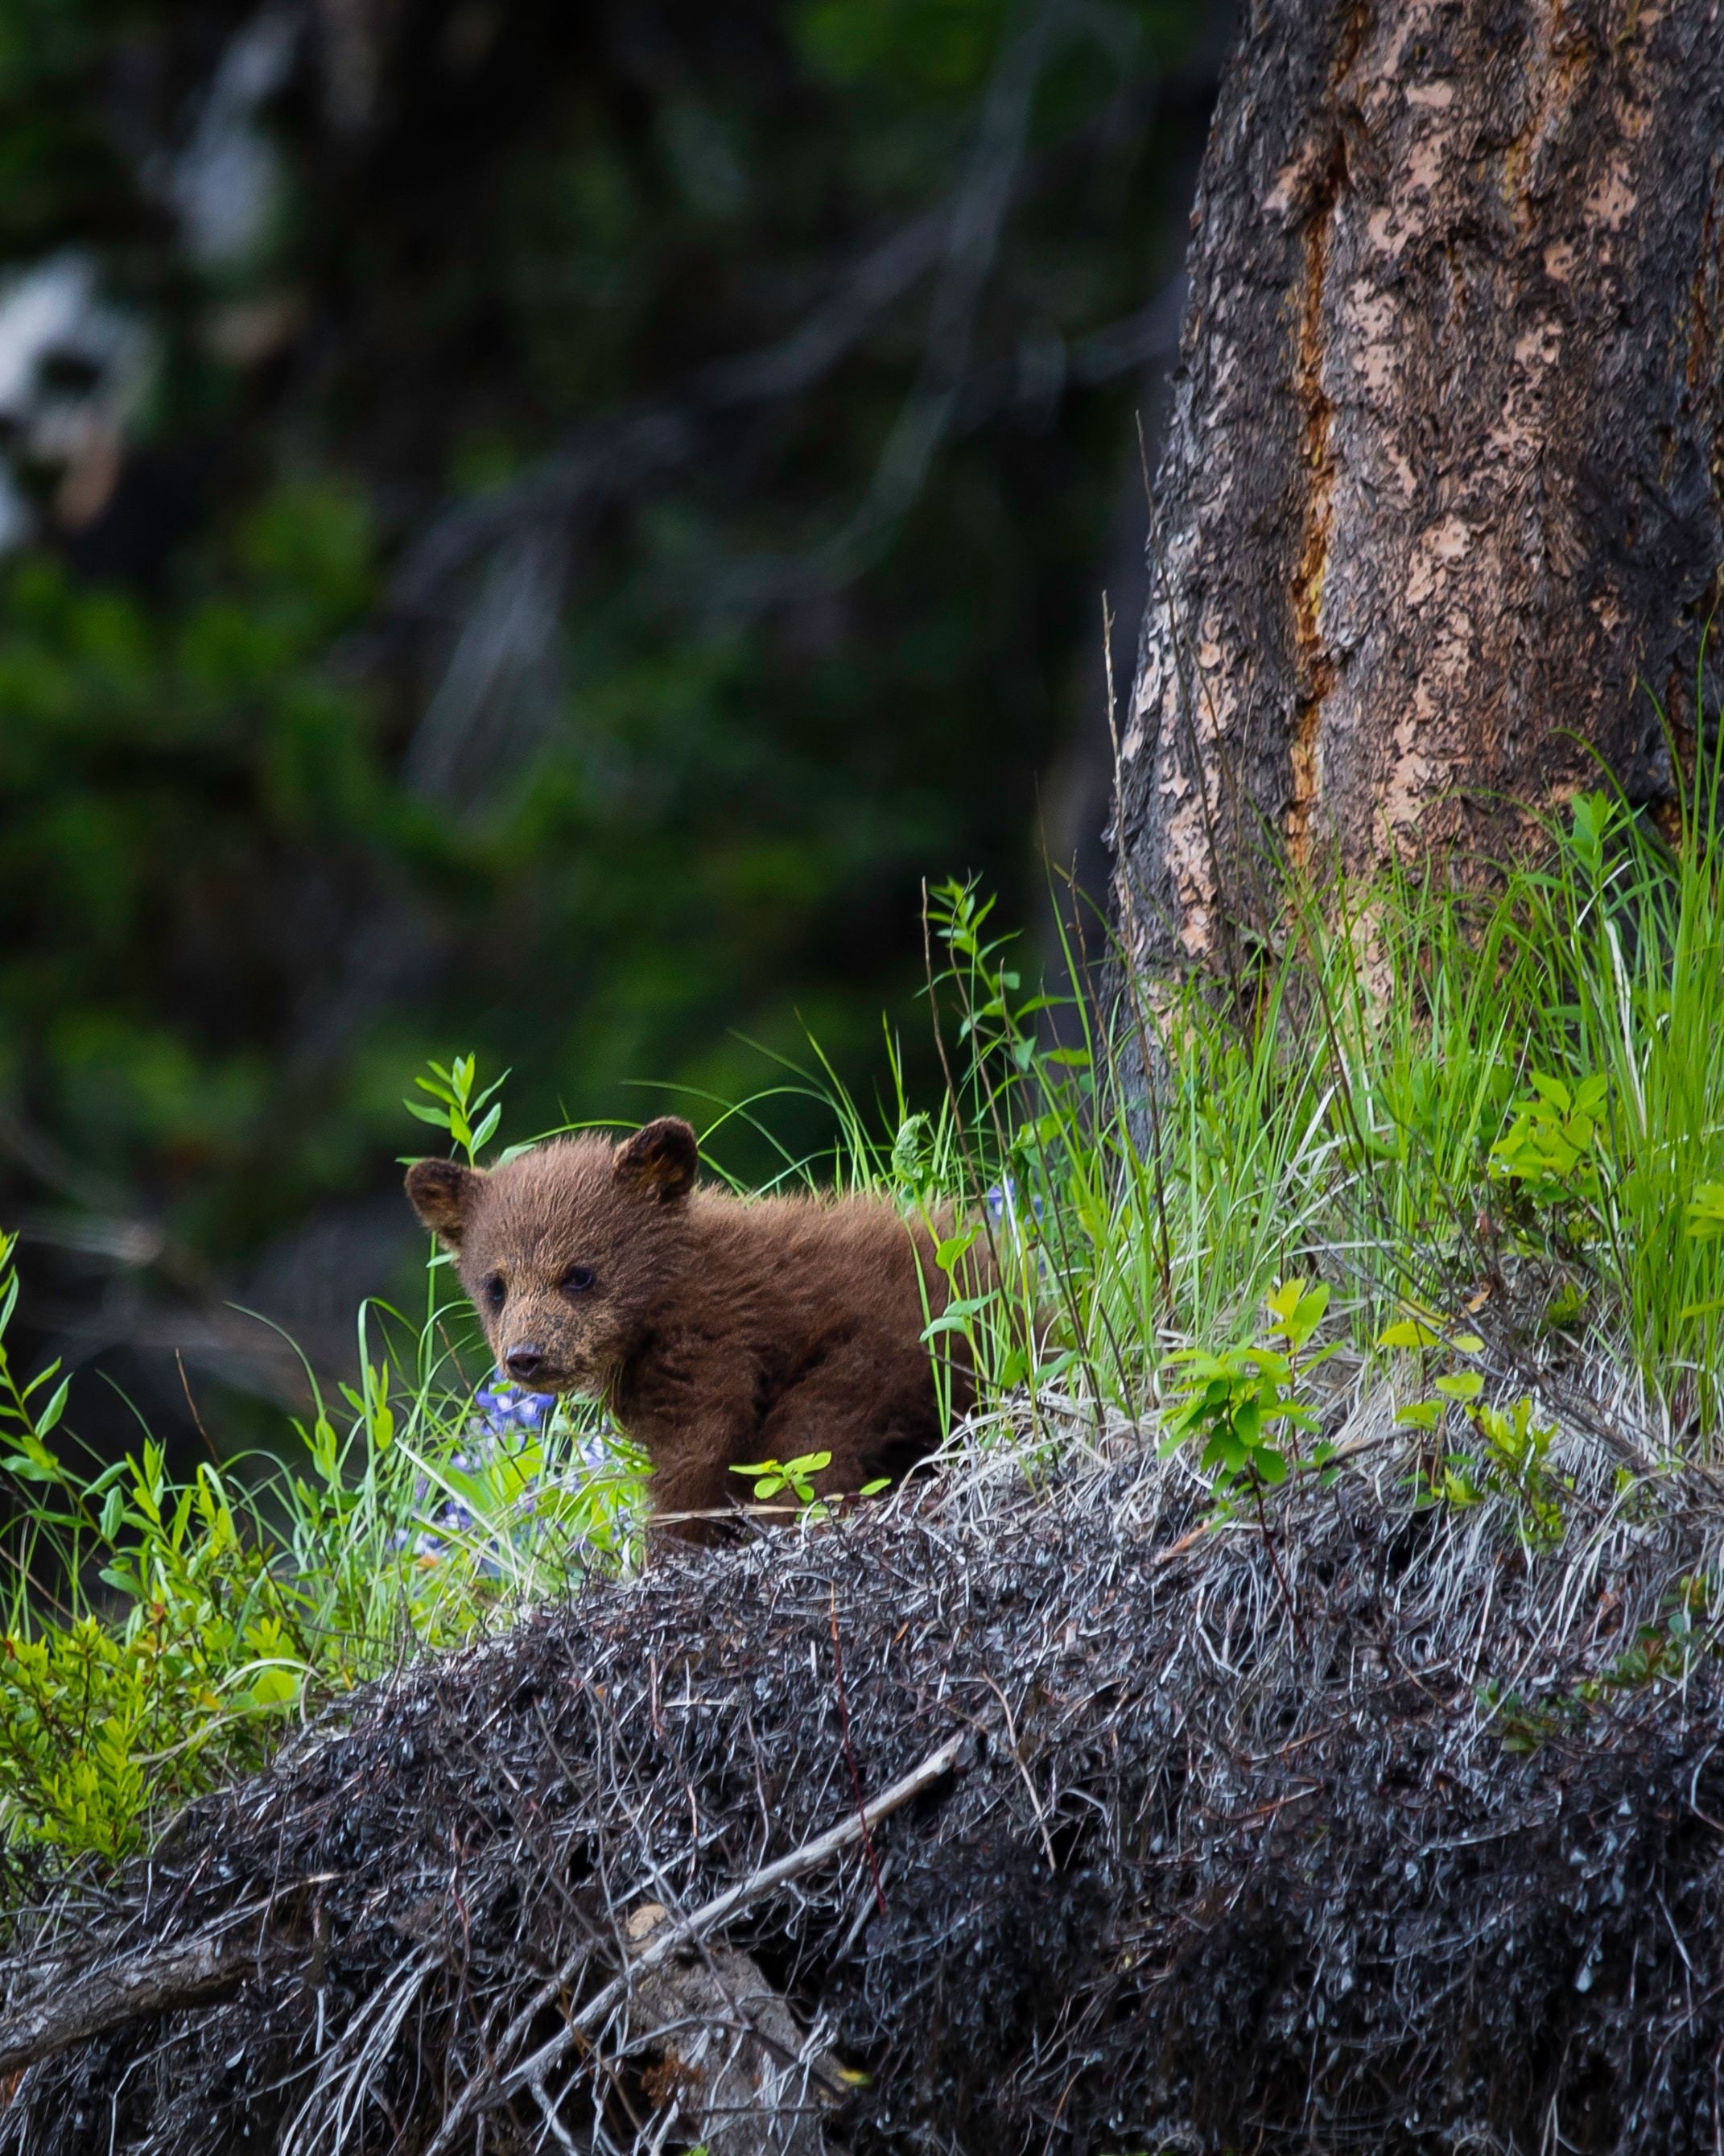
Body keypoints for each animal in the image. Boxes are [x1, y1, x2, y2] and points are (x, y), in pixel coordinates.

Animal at [404, 1117, 975, 1538]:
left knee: (810, 1445)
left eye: (579, 1274)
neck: (666, 1295)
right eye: (495, 1286)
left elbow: (698, 1456)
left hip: (878, 1356)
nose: (526, 1356)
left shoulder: (710, 1343)